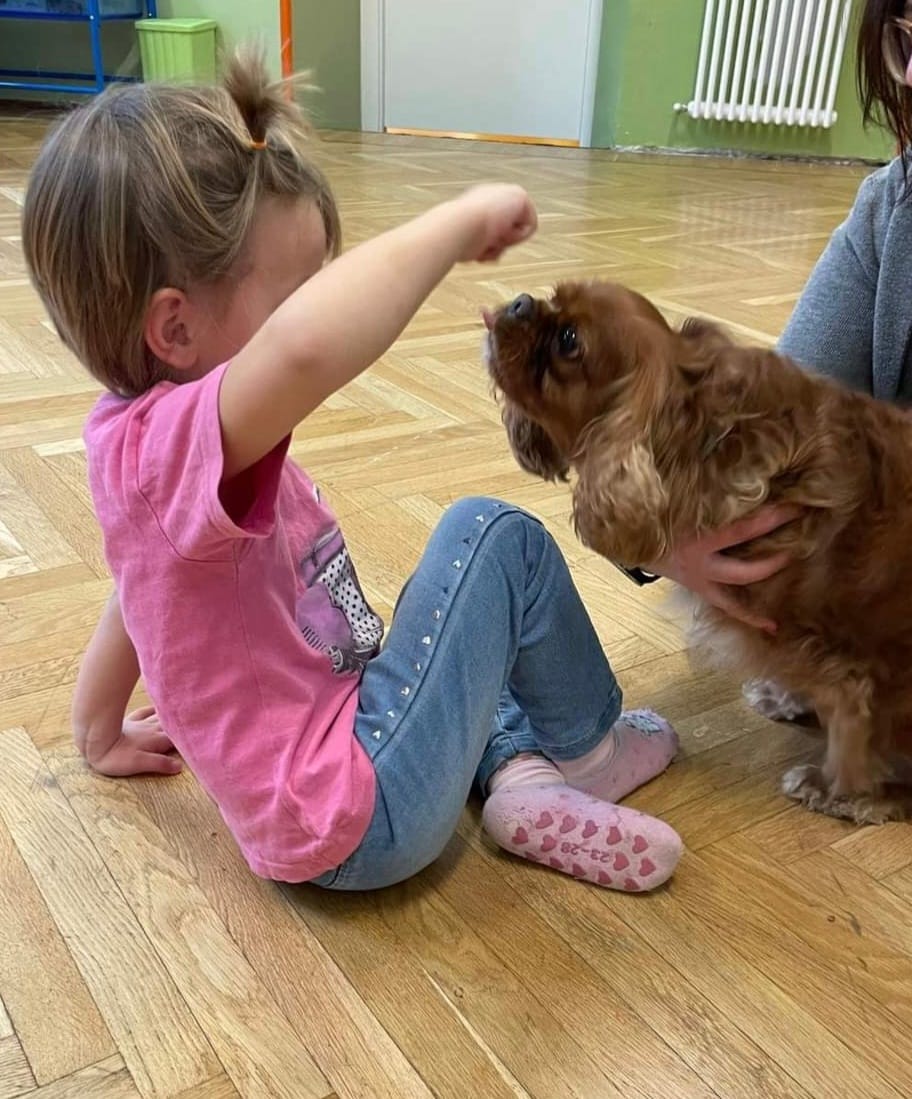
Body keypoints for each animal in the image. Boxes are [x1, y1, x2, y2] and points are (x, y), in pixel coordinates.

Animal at [490, 279, 912, 822]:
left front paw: (844, 792)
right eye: (552, 299)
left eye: (568, 339)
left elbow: (851, 728)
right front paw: (785, 696)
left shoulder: (847, 666)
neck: (695, 441)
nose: (519, 302)